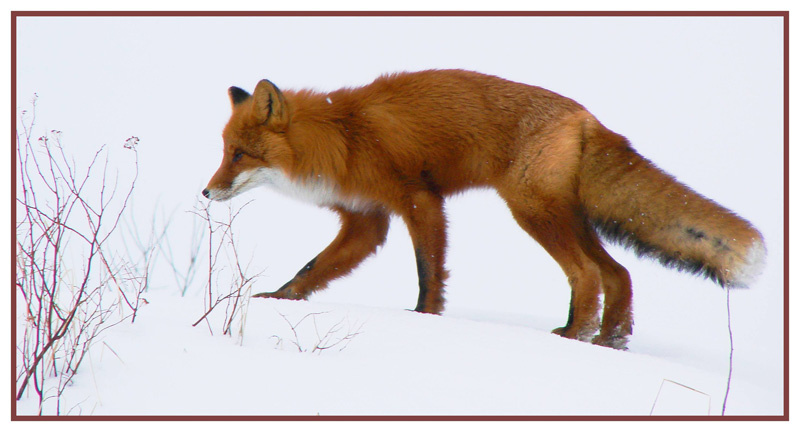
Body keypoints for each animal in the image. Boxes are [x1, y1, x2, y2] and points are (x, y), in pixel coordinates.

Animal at [203, 69, 765, 349]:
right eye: (224, 151)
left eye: (240, 155)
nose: (206, 193)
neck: (343, 136)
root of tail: (586, 116)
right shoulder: (367, 220)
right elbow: (311, 269)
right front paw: (277, 300)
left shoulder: (418, 199)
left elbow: (428, 272)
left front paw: (425, 319)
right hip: (569, 218)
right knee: (619, 273)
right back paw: (607, 341)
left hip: (532, 211)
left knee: (586, 274)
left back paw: (575, 336)